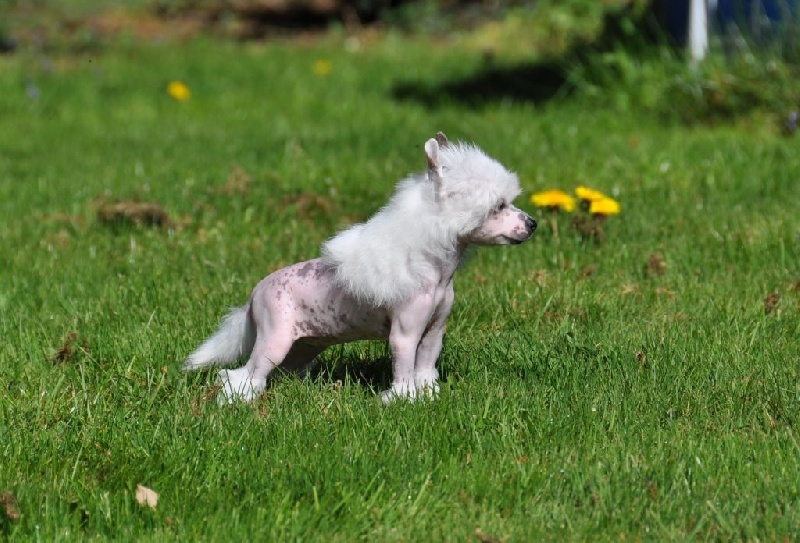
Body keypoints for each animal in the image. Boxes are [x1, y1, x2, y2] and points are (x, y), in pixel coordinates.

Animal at [183, 132, 537, 404]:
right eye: (498, 206)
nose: (532, 224)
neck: (434, 270)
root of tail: (254, 295)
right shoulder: (404, 335)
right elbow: (404, 370)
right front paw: (402, 400)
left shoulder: (434, 332)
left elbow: (424, 369)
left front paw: (427, 396)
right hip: (274, 341)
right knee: (245, 373)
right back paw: (238, 400)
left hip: (304, 345)